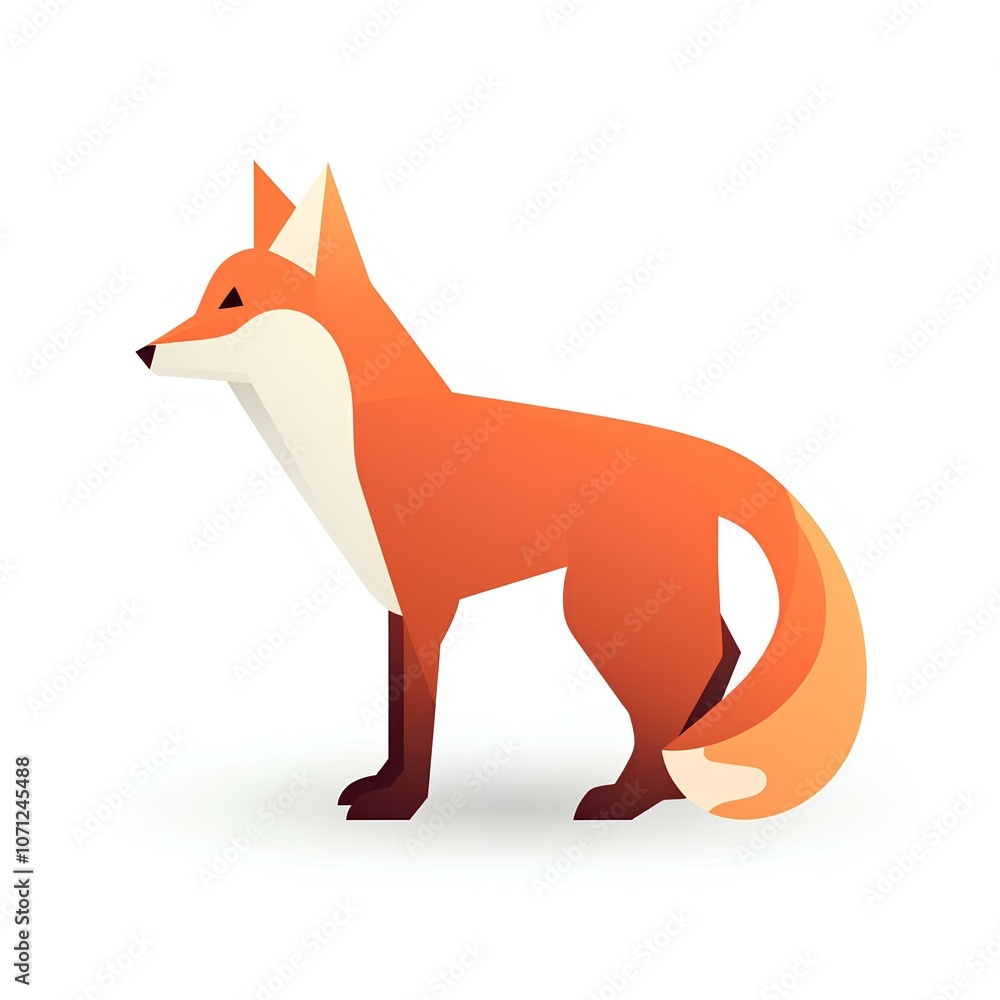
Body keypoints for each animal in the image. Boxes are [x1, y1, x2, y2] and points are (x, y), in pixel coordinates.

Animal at [136, 164, 865, 822]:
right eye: (203, 296)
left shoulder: (428, 602)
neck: (343, 430)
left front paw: (402, 804)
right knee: (722, 655)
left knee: (686, 676)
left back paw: (629, 797)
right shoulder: (398, 604)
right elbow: (399, 713)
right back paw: (668, 785)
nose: (145, 351)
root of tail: (694, 451)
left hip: (602, 610)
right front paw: (383, 785)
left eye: (232, 301)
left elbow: (419, 720)